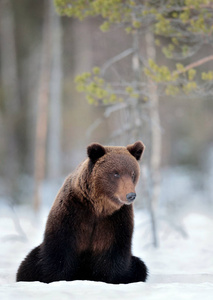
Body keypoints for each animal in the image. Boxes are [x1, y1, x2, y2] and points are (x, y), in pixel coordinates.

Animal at [16, 141, 148, 284]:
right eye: (115, 173)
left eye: (133, 173)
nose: (130, 195)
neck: (99, 208)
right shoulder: (72, 213)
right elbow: (59, 252)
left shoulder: (115, 220)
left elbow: (113, 255)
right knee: (27, 264)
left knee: (140, 266)